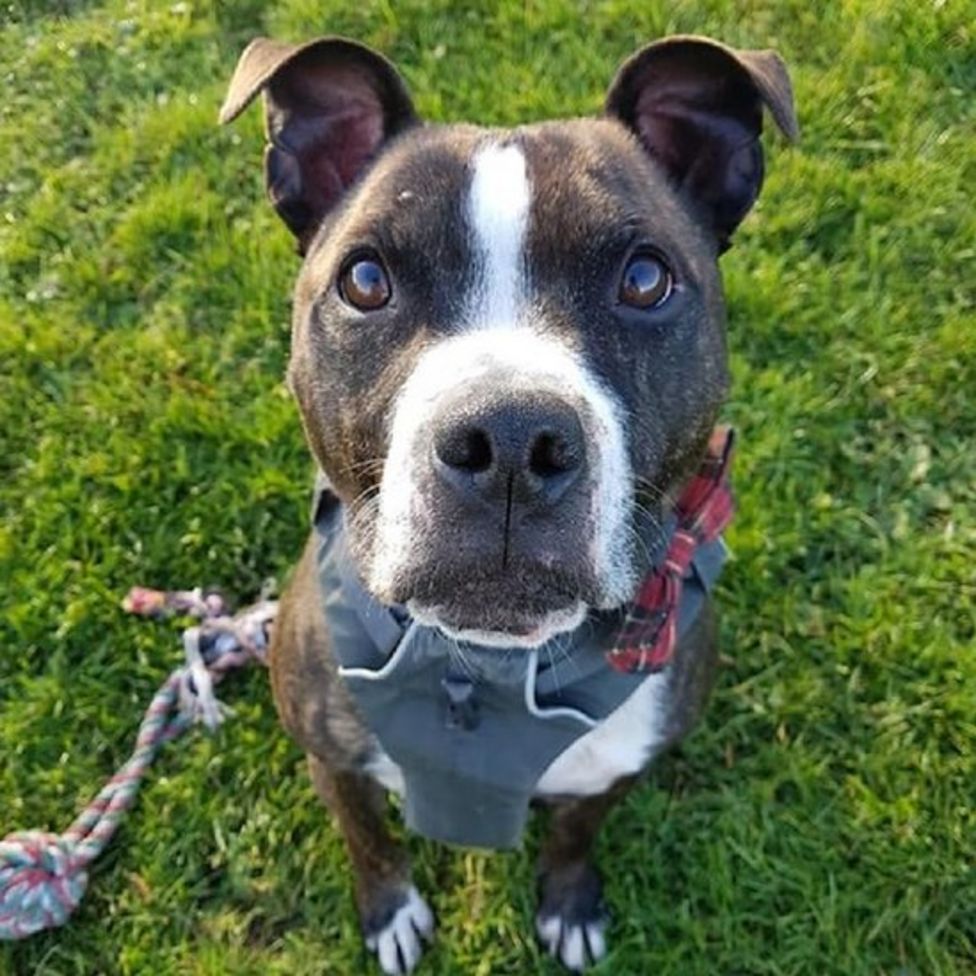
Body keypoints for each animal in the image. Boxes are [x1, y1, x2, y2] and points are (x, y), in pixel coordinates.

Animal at [219, 34, 792, 972]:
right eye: (365, 280)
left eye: (645, 279)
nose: (513, 439)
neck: (484, 667)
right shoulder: (332, 761)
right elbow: (369, 840)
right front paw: (390, 912)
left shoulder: (616, 768)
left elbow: (575, 833)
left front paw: (569, 902)